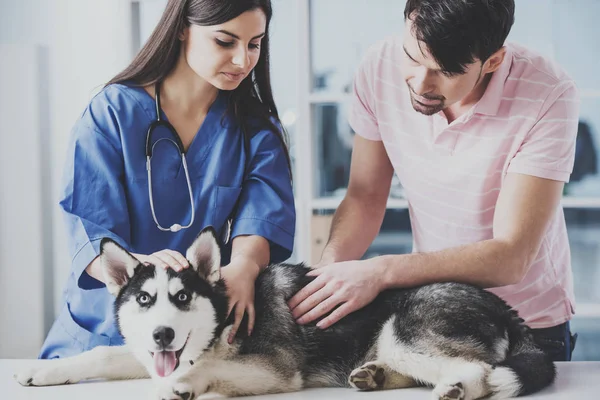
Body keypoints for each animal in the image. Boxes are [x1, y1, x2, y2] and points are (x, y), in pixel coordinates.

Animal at [15, 228, 552, 400]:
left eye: (183, 297)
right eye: (145, 300)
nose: (164, 335)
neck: (221, 320)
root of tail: (499, 302)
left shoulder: (274, 370)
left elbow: (209, 372)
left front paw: (186, 385)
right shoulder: (146, 353)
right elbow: (100, 356)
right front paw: (40, 370)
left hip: (405, 332)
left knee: (476, 369)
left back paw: (454, 387)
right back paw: (375, 375)